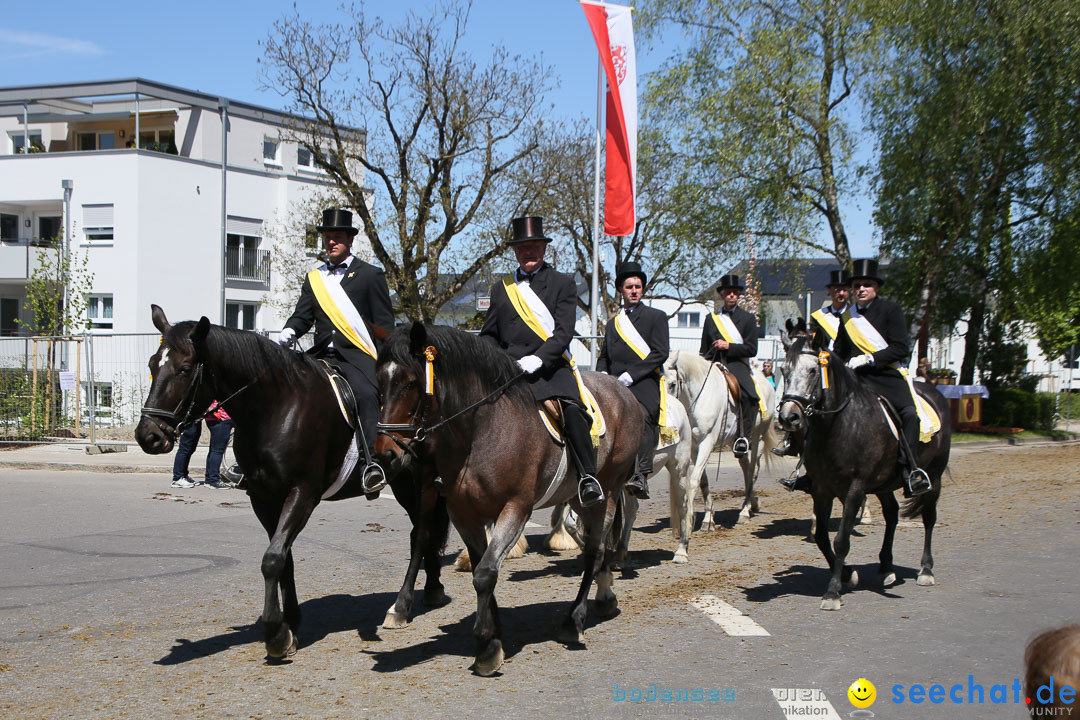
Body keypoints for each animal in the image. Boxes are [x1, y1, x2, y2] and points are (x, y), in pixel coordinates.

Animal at [133, 304, 447, 660]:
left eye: (185, 368)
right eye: (152, 365)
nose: (148, 436)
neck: (276, 407)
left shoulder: (303, 492)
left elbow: (272, 559)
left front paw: (276, 634)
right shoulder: (264, 497)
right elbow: (283, 558)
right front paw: (291, 622)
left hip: (423, 480)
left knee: (422, 533)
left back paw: (403, 605)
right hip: (402, 483)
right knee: (420, 532)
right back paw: (432, 586)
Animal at [373, 323, 639, 677]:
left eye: (411, 383)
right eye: (379, 384)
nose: (386, 455)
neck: (481, 431)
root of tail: (622, 391)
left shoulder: (516, 508)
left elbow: (486, 572)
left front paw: (487, 648)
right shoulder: (463, 513)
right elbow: (479, 568)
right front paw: (493, 636)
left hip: (606, 492)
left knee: (594, 552)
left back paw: (574, 621)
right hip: (577, 497)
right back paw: (604, 595)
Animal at [544, 390, 695, 561]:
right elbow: (571, 524)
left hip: (679, 468)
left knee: (683, 506)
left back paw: (681, 551)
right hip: (627, 484)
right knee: (631, 509)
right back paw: (621, 551)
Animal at [660, 349, 781, 528]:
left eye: (672, 384)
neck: (700, 397)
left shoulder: (707, 442)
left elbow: (694, 479)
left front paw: (692, 518)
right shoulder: (694, 446)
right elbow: (703, 481)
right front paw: (709, 517)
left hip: (757, 438)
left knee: (753, 471)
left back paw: (744, 511)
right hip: (738, 444)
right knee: (746, 469)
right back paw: (752, 503)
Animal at [777, 330, 954, 608]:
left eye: (813, 371)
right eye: (783, 370)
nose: (789, 417)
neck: (839, 425)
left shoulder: (855, 490)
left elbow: (841, 540)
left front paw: (833, 592)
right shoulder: (822, 490)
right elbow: (822, 537)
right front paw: (848, 575)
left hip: (934, 476)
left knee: (928, 517)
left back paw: (926, 570)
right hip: (884, 485)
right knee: (892, 514)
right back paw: (887, 567)